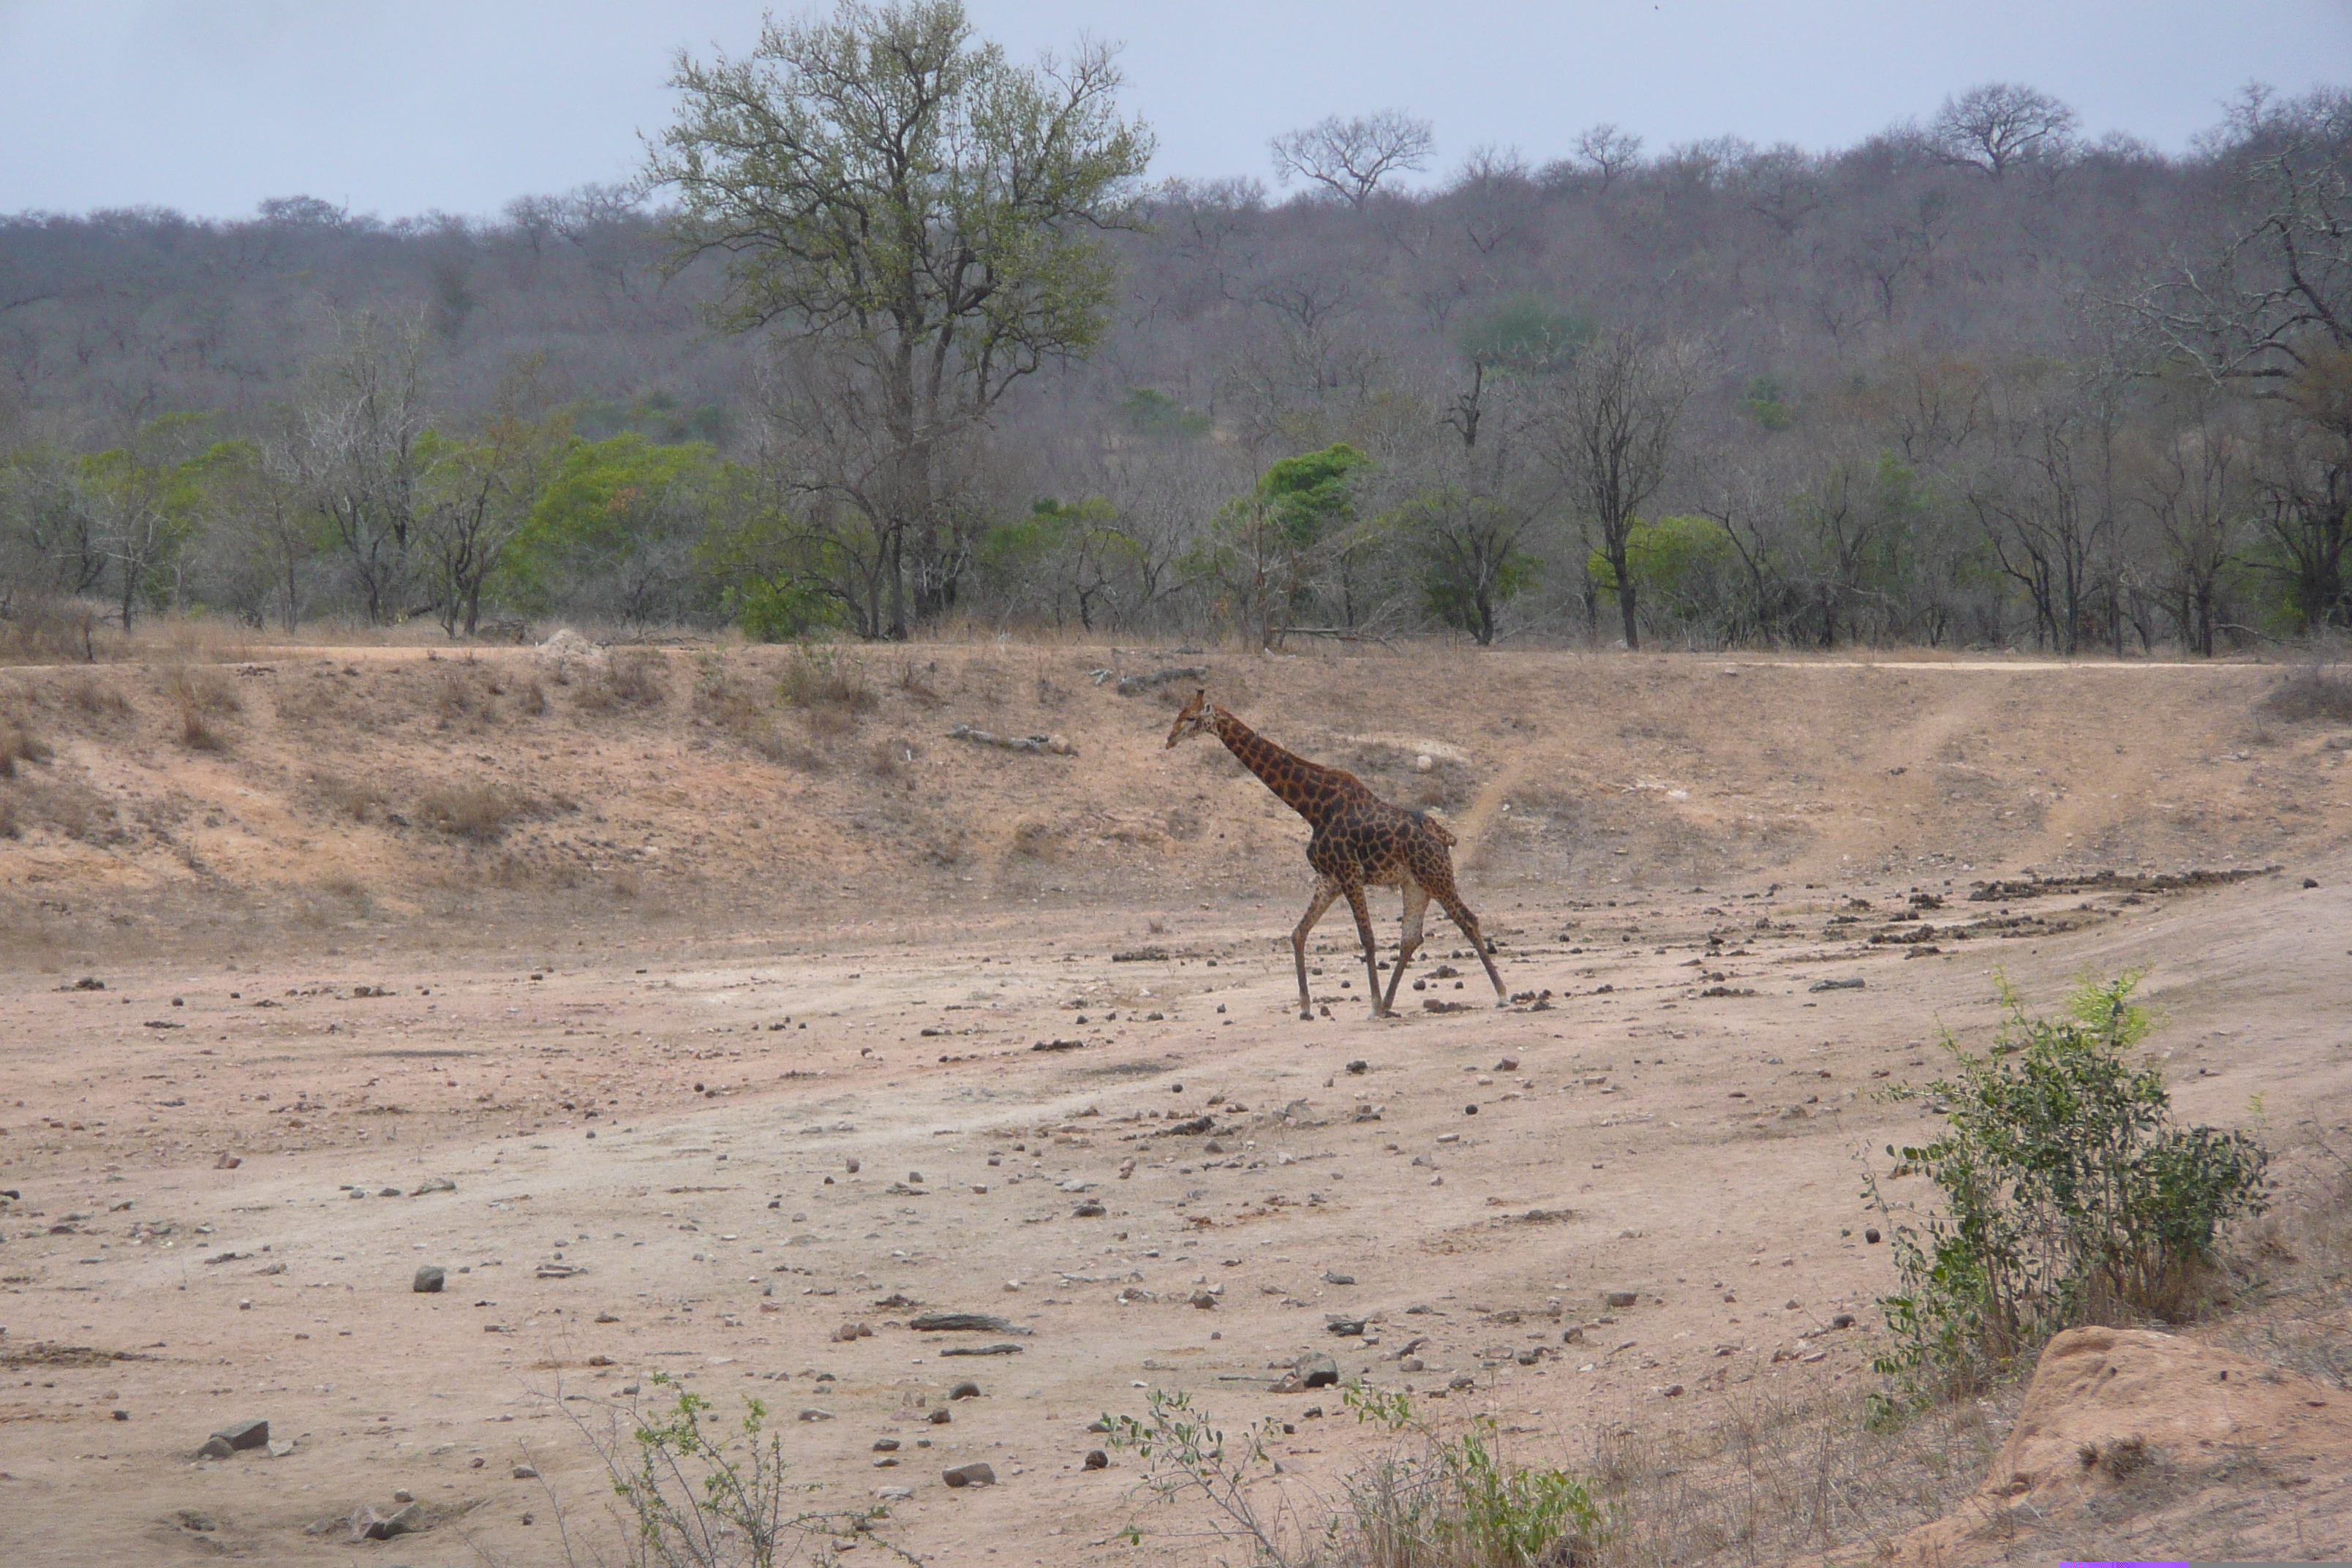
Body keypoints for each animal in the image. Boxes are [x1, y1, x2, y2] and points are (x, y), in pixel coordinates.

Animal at [1166, 691, 1515, 1025]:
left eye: (1192, 718)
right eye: (1179, 714)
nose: (1169, 740)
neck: (1312, 808)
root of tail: (1443, 837)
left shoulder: (1349, 873)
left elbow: (1367, 938)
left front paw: (1371, 1006)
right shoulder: (1329, 879)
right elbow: (1299, 933)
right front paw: (1306, 1008)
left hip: (1435, 875)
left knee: (1467, 919)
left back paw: (1501, 993)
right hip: (1415, 885)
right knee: (1411, 938)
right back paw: (1390, 1003)